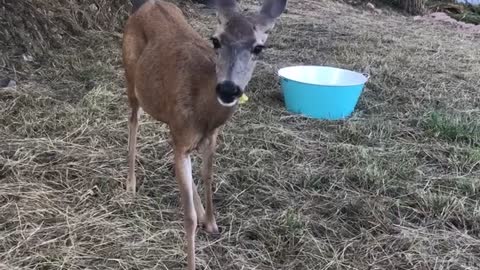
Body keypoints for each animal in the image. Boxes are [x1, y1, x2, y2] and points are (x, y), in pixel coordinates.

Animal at [122, 0, 286, 266]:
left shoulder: (210, 137)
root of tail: (148, 4)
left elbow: (208, 175)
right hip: (130, 77)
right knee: (133, 121)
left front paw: (211, 222)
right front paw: (192, 257)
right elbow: (187, 217)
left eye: (259, 47)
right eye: (216, 41)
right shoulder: (183, 138)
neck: (204, 113)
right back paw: (130, 183)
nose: (228, 88)